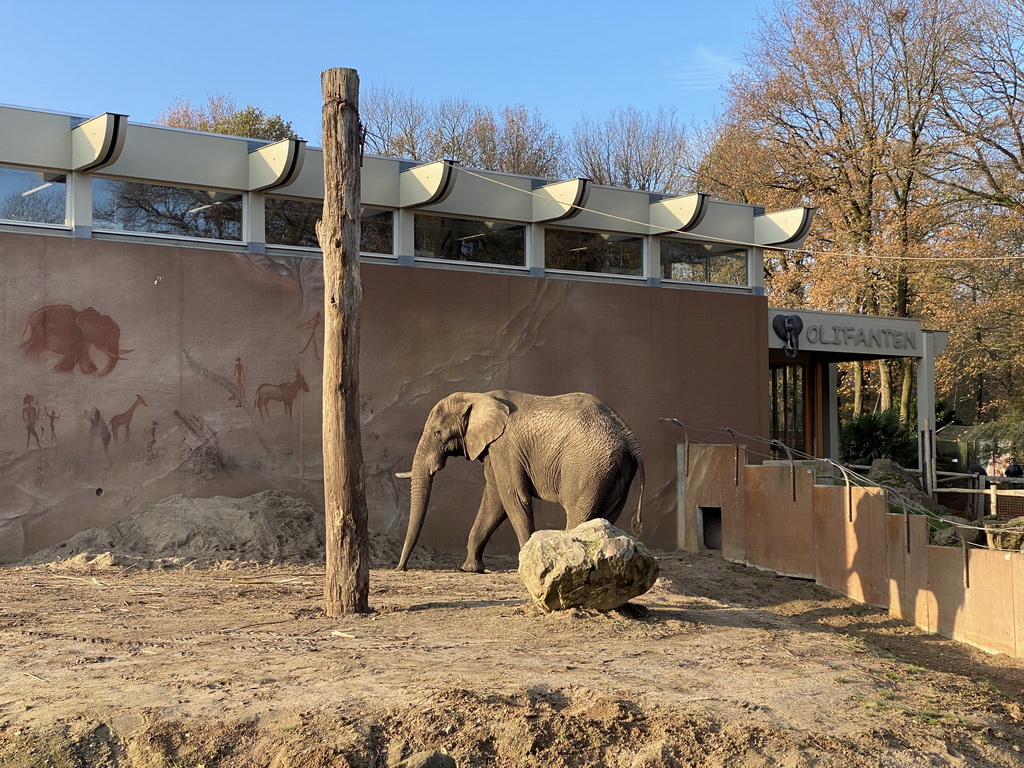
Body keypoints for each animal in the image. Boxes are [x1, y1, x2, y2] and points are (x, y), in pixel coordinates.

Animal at [395, 393, 643, 573]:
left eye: (437, 432)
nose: (400, 568)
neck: (478, 397)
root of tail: (627, 434)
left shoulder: (504, 447)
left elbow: (513, 497)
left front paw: (526, 566)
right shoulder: (493, 450)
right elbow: (494, 500)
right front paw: (470, 569)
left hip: (587, 465)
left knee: (579, 512)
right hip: (615, 468)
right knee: (606, 516)